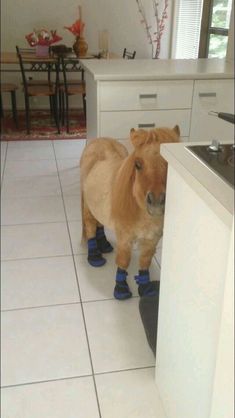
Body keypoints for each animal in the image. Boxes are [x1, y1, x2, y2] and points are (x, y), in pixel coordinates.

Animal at [79, 125, 180, 298]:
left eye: (168, 162)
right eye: (137, 164)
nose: (156, 201)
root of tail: (99, 140)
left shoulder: (152, 240)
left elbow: (145, 261)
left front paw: (146, 288)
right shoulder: (125, 239)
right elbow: (124, 261)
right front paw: (121, 288)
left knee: (99, 223)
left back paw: (104, 244)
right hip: (88, 206)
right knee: (91, 225)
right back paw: (95, 256)